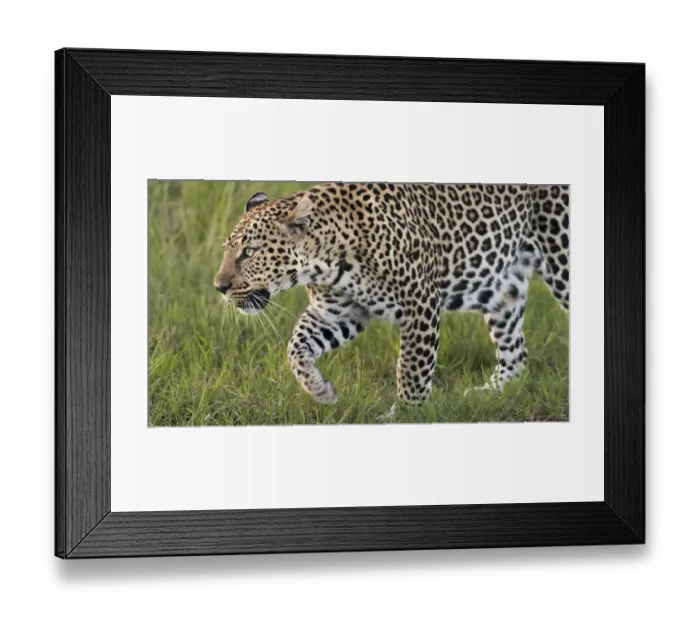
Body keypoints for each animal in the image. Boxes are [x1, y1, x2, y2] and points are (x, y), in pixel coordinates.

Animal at [214, 183, 570, 410]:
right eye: (227, 250)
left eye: (249, 252)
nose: (219, 286)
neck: (326, 260)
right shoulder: (337, 313)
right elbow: (296, 347)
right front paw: (320, 390)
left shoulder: (421, 304)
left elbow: (412, 370)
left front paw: (407, 414)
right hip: (504, 287)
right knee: (517, 354)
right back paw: (489, 394)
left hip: (562, 261)